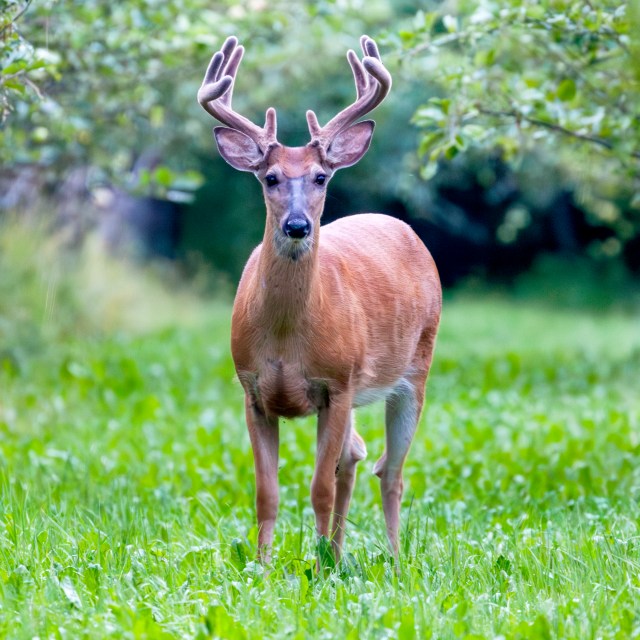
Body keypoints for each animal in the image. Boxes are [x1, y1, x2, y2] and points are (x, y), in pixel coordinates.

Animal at [197, 35, 441, 565]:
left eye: (320, 177)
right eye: (269, 177)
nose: (297, 225)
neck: (288, 339)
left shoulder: (337, 383)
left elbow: (319, 489)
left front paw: (317, 566)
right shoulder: (252, 389)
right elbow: (266, 492)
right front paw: (264, 566)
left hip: (413, 369)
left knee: (390, 470)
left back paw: (391, 560)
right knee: (357, 455)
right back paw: (339, 550)